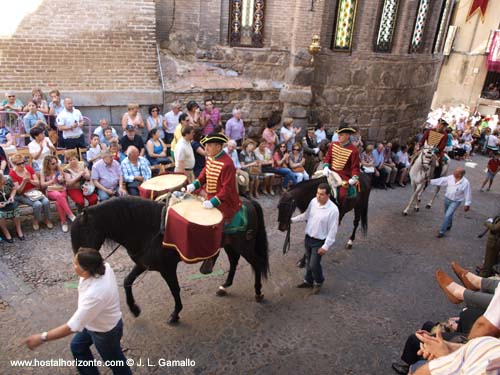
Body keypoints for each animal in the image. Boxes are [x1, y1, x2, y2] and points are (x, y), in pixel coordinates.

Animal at [70, 198, 270, 324]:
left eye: (84, 232)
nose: (80, 267)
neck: (149, 229)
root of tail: (248, 201)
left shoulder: (167, 268)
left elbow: (175, 289)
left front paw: (175, 314)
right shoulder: (143, 264)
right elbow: (127, 281)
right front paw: (134, 309)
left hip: (244, 245)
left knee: (256, 262)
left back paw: (258, 292)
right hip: (230, 244)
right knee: (234, 261)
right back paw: (225, 285)